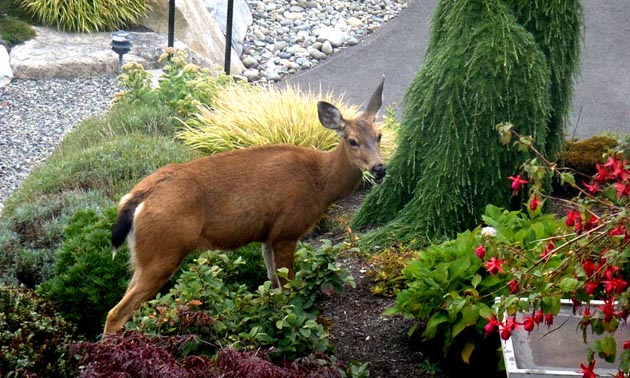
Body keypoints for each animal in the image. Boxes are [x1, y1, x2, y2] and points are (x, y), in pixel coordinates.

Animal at [103, 77, 388, 334]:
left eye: (379, 136)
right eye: (352, 141)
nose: (380, 168)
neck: (320, 182)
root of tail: (137, 198)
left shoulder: (268, 236)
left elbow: (273, 284)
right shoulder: (287, 231)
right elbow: (287, 287)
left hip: (144, 256)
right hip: (164, 251)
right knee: (116, 313)